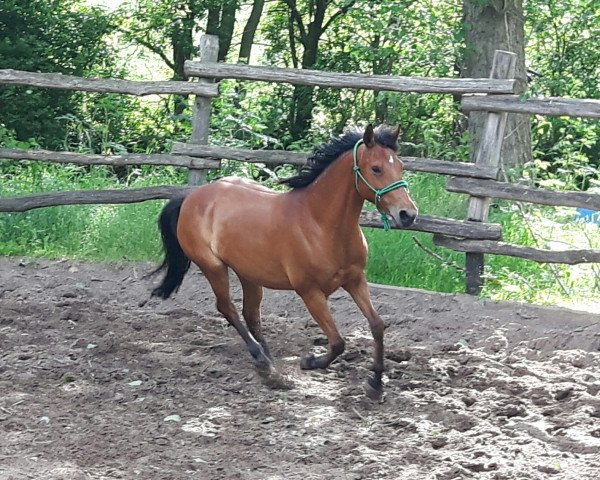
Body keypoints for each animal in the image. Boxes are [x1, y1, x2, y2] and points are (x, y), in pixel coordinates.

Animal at [150, 124, 418, 398]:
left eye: (400, 166)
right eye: (376, 168)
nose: (408, 214)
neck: (319, 224)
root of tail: (191, 196)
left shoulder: (355, 280)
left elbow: (376, 325)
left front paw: (375, 383)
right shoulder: (310, 292)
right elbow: (337, 342)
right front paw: (310, 361)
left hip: (249, 273)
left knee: (250, 313)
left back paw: (268, 359)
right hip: (213, 267)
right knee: (227, 308)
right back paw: (263, 362)